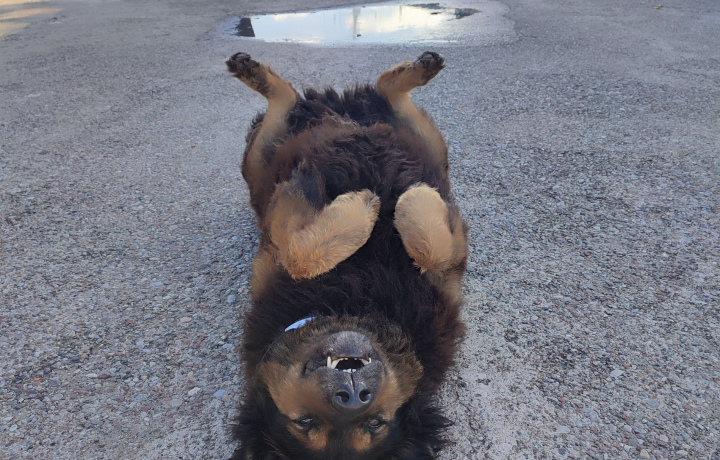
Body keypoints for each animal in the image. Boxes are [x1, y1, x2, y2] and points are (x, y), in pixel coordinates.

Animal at [226, 51, 468, 460]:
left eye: (375, 423)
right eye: (305, 422)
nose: (352, 395)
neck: (354, 304)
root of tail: (337, 106)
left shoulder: (450, 265)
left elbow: (431, 252)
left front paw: (409, 200)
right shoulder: (274, 228)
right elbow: (299, 256)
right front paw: (373, 205)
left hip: (427, 142)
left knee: (383, 91)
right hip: (259, 167)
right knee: (286, 103)